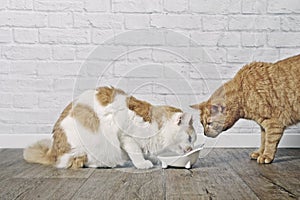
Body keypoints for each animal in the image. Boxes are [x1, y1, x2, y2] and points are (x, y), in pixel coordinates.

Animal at [24, 86, 197, 169]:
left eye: (194, 140)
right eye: (189, 138)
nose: (191, 149)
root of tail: (53, 150)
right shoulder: (126, 136)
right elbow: (136, 152)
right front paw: (142, 164)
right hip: (83, 147)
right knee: (80, 162)